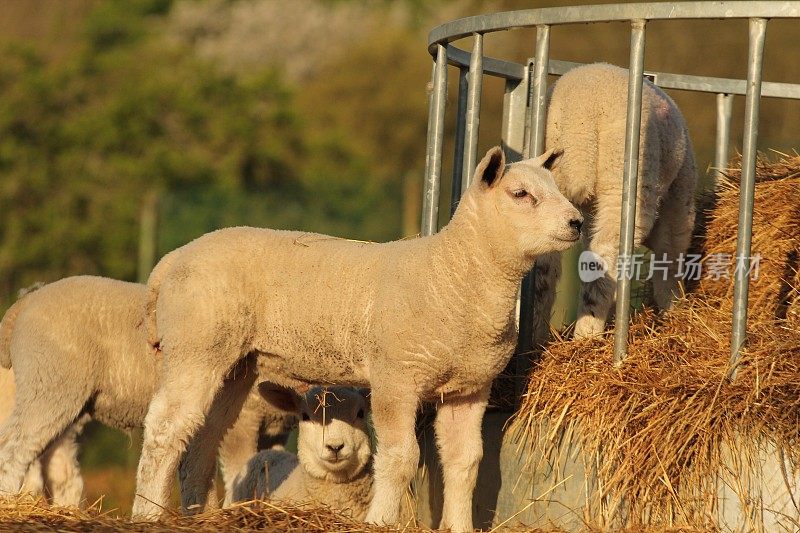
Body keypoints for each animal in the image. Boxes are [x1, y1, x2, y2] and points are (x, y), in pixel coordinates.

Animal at [0, 278, 294, 508]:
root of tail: (23, 305)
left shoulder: (275, 430)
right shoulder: (242, 422)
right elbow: (237, 471)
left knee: (57, 464)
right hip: (48, 383)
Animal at [536, 61, 696, 336]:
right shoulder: (678, 201)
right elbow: (669, 258)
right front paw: (674, 308)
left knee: (546, 268)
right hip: (621, 181)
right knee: (605, 254)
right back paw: (588, 332)